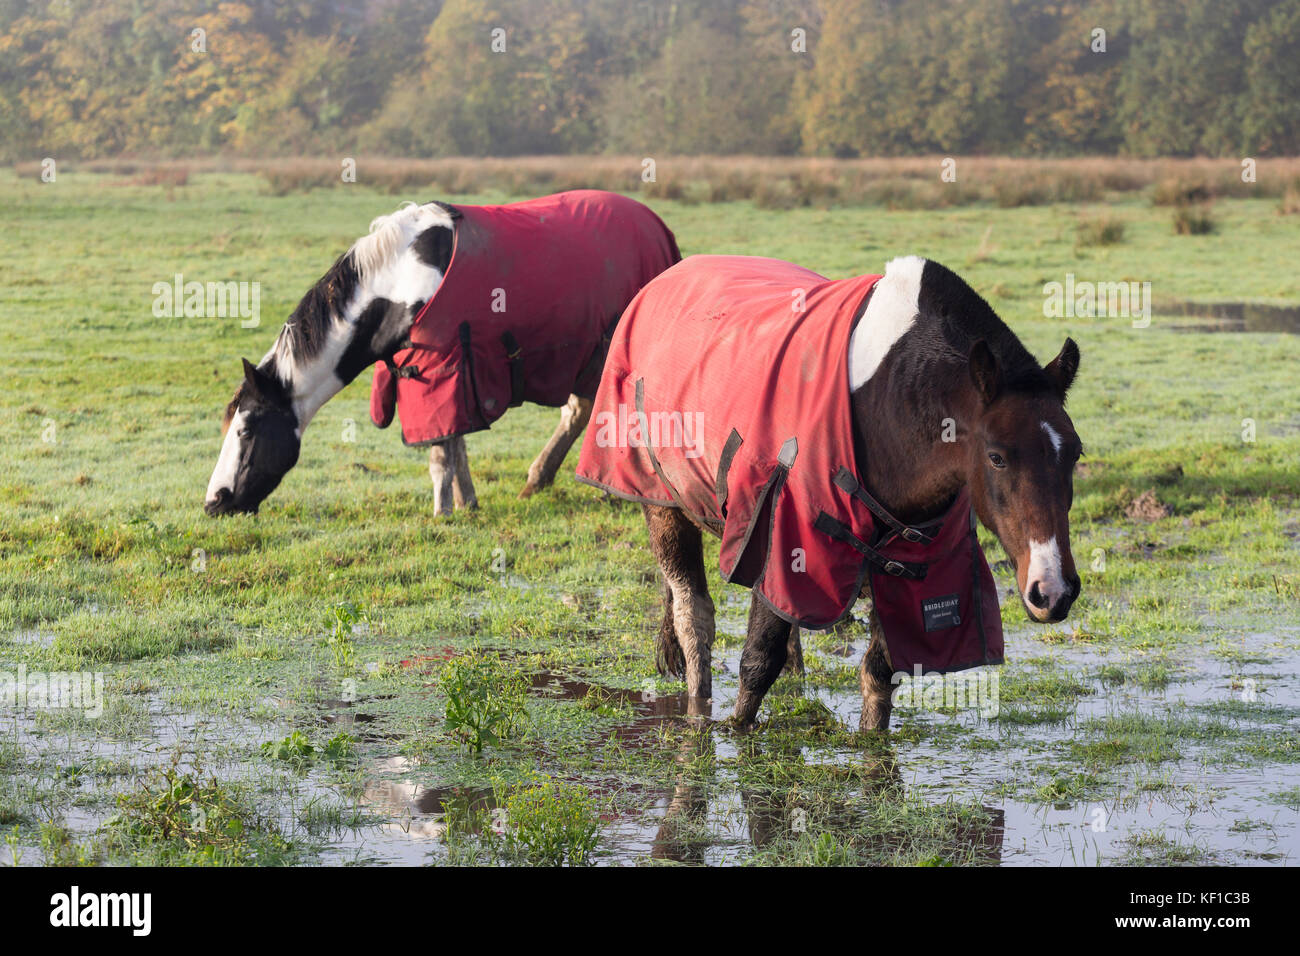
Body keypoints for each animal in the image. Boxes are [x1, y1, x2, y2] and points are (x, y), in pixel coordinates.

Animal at [206, 187, 676, 515]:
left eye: (245, 431)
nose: (214, 502)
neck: (398, 279)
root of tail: (658, 227)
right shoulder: (449, 375)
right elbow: (456, 443)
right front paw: (467, 502)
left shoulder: (439, 367)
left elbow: (439, 451)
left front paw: (442, 511)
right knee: (580, 411)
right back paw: (538, 481)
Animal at [574, 254, 1081, 733]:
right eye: (997, 457)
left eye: (1075, 453)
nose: (1054, 591)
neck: (888, 401)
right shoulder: (787, 542)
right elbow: (756, 666)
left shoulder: (911, 571)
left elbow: (879, 674)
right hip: (665, 506)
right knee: (693, 618)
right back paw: (697, 708)